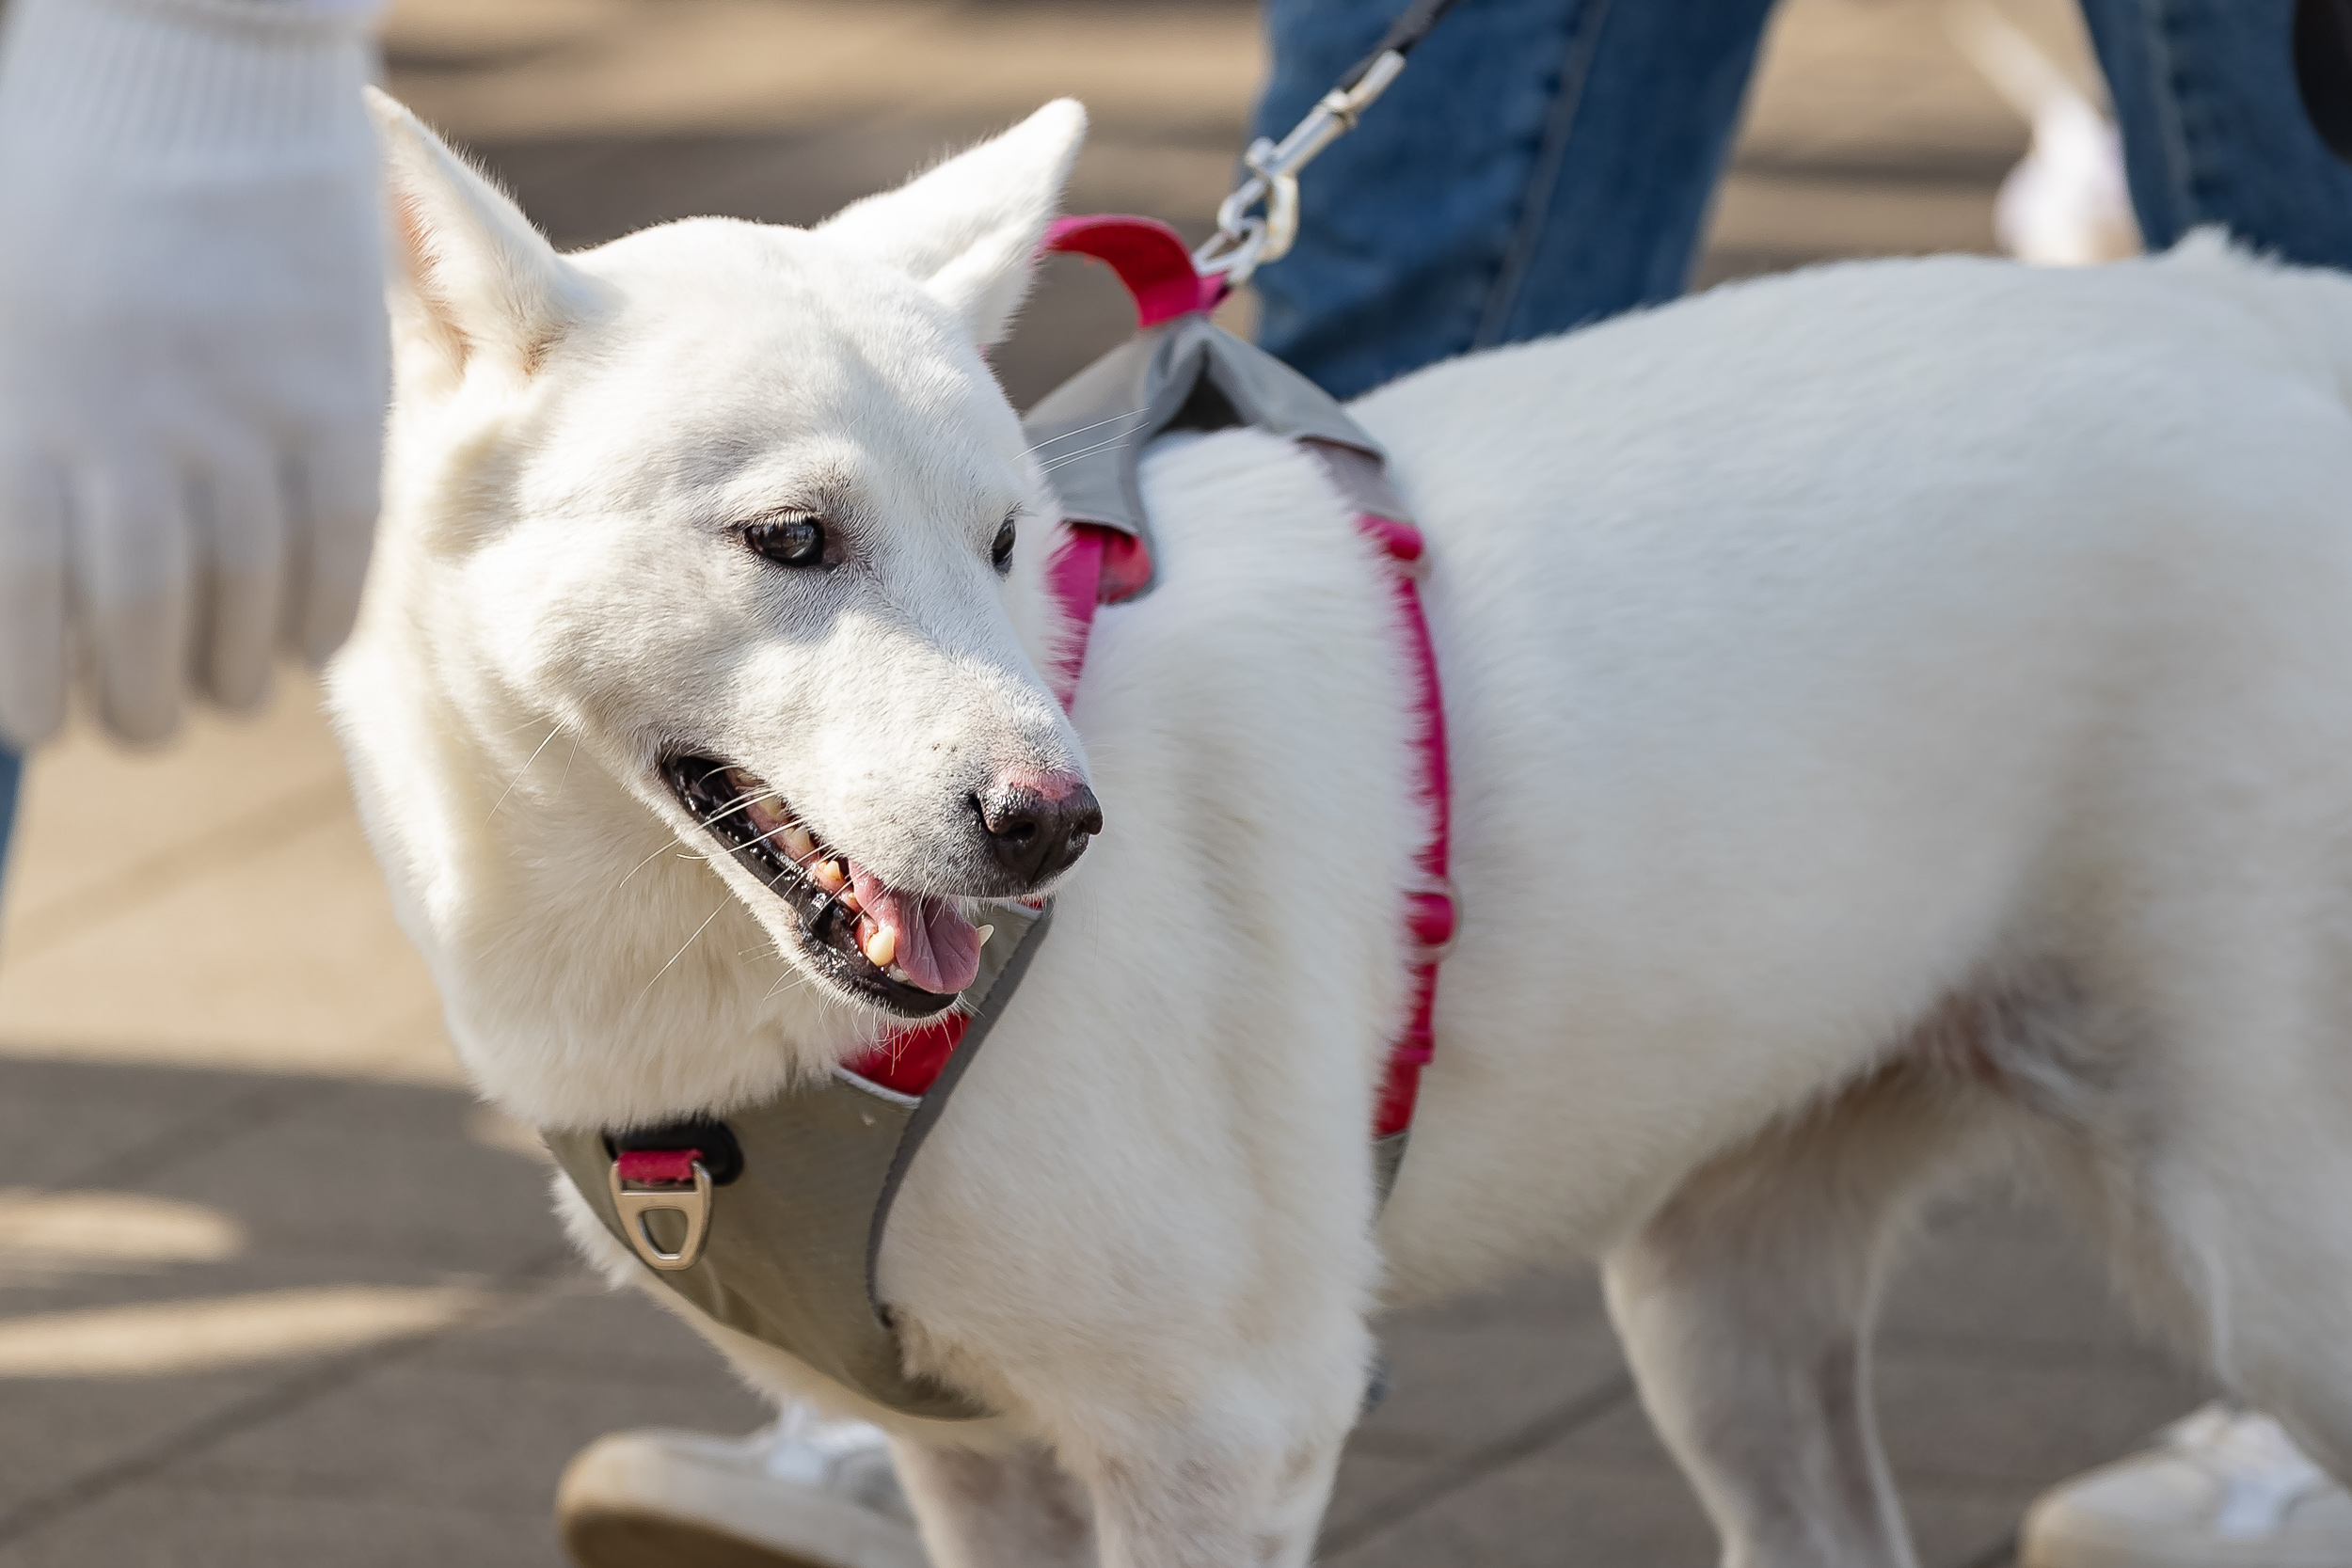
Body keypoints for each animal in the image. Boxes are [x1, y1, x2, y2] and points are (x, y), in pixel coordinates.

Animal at [326, 98, 2352, 1568]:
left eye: (1005, 541)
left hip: (2264, 1236)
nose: (1060, 825)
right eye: (791, 540)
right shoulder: (971, 1458)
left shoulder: (1225, 1430)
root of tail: (2238, 302)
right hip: (1723, 1300)